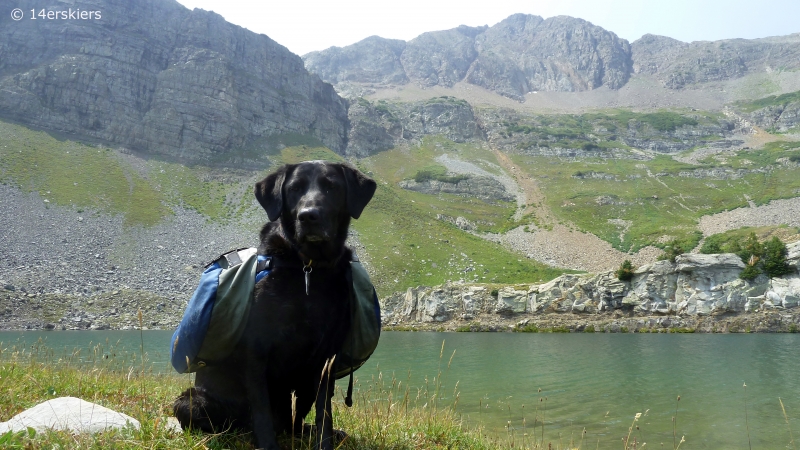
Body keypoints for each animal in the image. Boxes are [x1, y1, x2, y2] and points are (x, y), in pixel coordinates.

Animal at [173, 162, 376, 450]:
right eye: (294, 189)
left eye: (332, 187)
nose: (308, 216)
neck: (308, 269)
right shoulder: (257, 350)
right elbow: (261, 410)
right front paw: (267, 444)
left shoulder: (327, 358)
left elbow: (324, 412)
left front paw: (324, 442)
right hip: (190, 401)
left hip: (304, 386)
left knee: (295, 423)